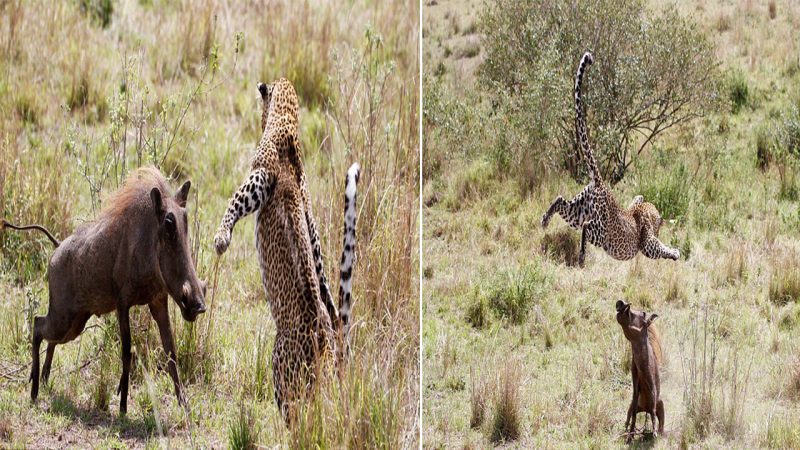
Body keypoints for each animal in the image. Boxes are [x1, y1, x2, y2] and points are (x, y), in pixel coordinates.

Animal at [214, 78, 360, 422]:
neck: (288, 122)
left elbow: (236, 200)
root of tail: (324, 343)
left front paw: (221, 238)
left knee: (298, 414)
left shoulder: (260, 178)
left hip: (281, 364)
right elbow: (321, 267)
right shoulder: (307, 207)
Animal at [540, 51, 680, 268]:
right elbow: (659, 247)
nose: (660, 226)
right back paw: (581, 255)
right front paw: (675, 252)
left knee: (561, 200)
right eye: (658, 222)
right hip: (600, 231)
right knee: (587, 227)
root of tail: (601, 183)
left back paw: (545, 220)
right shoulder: (647, 244)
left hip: (577, 211)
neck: (641, 212)